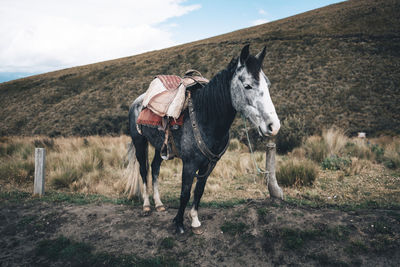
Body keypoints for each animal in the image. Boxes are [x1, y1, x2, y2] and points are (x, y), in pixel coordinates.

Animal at [126, 44, 280, 234]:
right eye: (248, 86)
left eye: (268, 84)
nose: (274, 126)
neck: (204, 117)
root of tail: (138, 101)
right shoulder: (189, 164)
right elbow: (185, 193)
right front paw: (179, 223)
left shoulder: (209, 164)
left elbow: (199, 190)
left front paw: (194, 220)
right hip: (140, 143)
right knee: (143, 170)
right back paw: (147, 206)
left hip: (159, 146)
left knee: (155, 168)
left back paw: (159, 204)